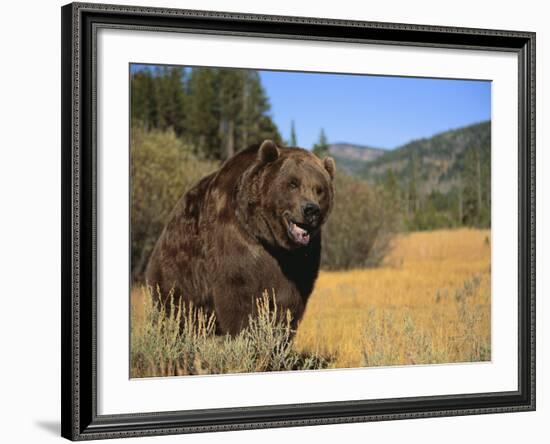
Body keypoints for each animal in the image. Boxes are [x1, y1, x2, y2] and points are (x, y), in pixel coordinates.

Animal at [147, 140, 336, 334]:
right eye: (293, 183)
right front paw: (247, 332)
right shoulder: (236, 240)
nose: (311, 210)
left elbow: (288, 302)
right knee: (174, 306)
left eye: (319, 189)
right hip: (179, 268)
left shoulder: (301, 260)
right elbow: (240, 296)